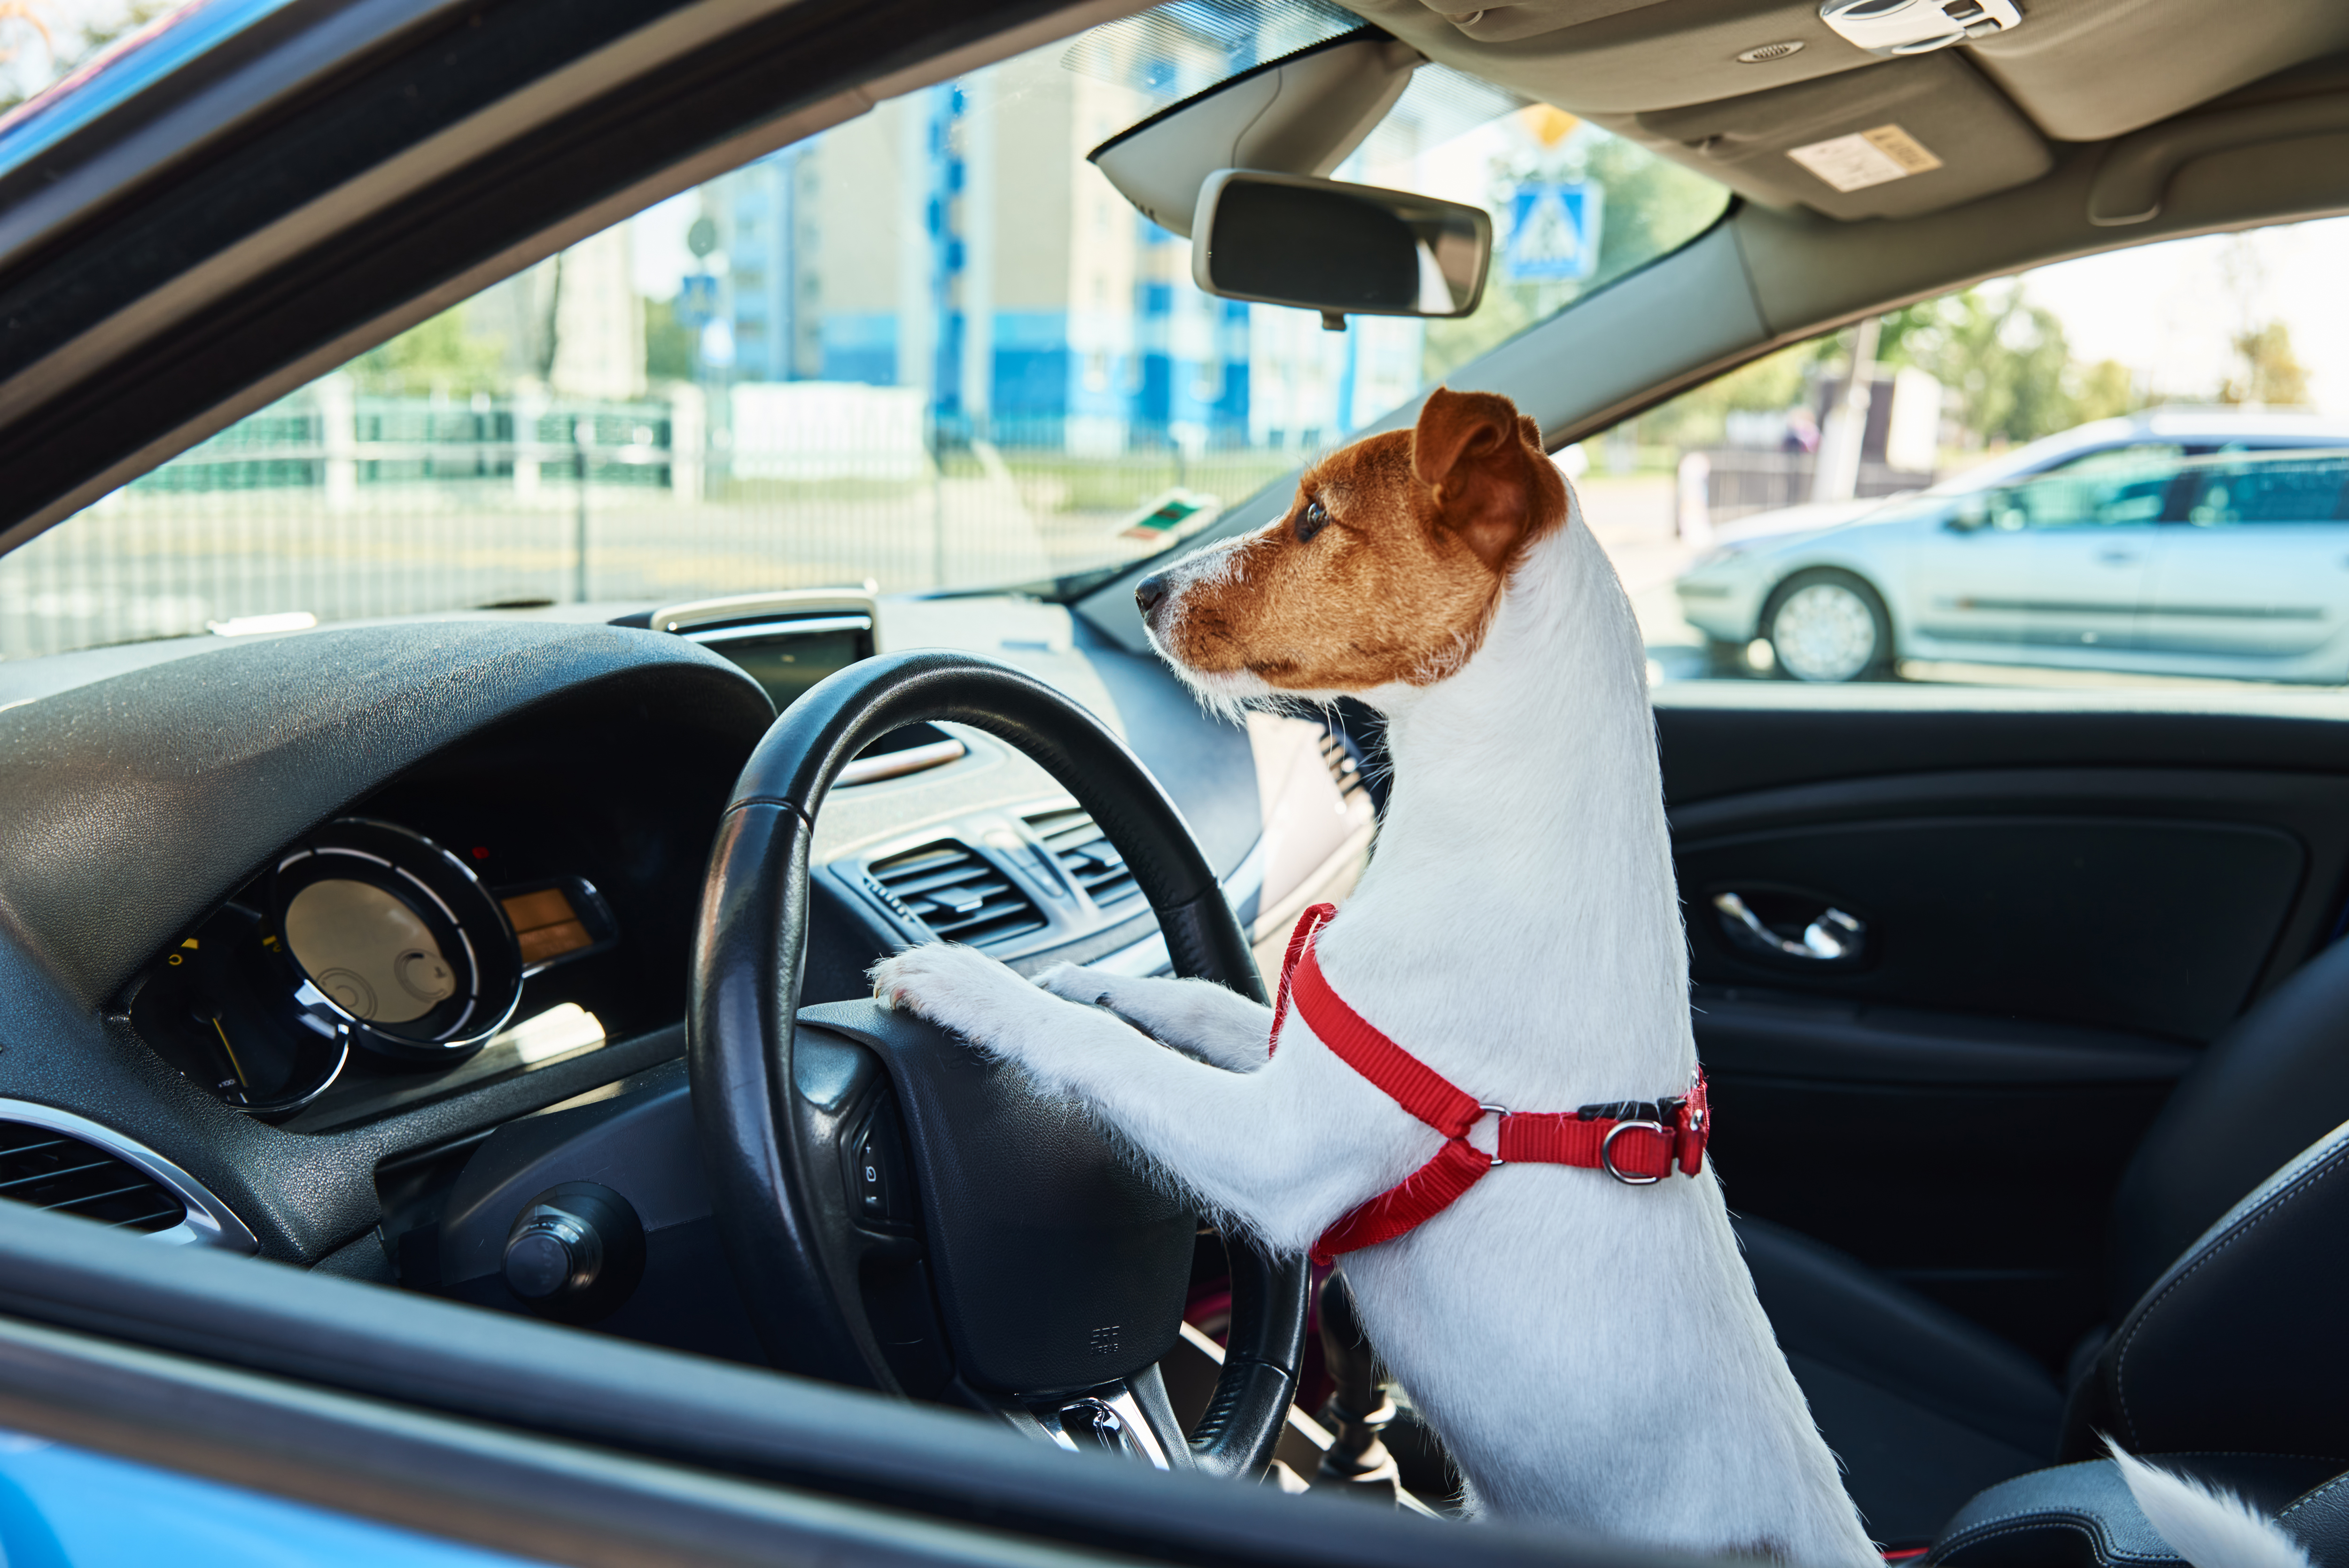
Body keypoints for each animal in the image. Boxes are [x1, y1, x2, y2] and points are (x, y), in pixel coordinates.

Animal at [879, 382, 2293, 1568]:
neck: (1499, 823)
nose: (1146, 592)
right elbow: (1205, 1003)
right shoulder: (1295, 1057)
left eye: (1316, 517)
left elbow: (1099, 1056)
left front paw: (958, 978)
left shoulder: (1281, 1155)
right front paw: (1107, 983)